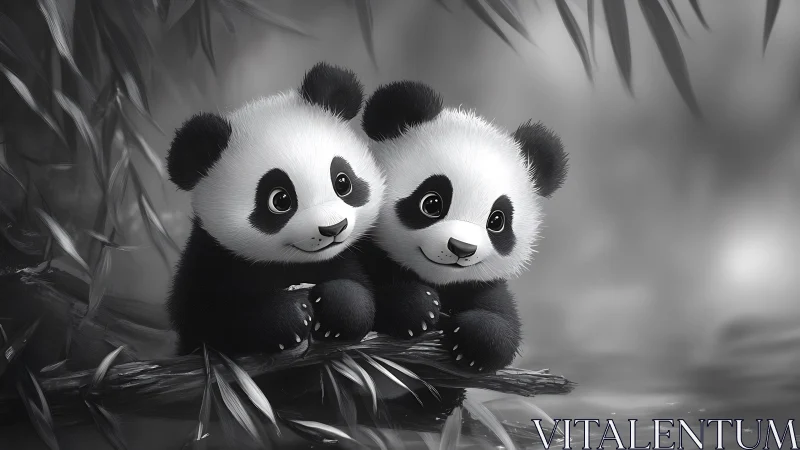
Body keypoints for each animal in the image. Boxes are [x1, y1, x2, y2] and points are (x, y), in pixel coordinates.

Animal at [165, 62, 385, 356]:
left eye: (342, 182)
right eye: (279, 200)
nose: (332, 228)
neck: (296, 264)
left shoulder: (352, 255)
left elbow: (367, 299)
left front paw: (335, 306)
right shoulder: (211, 259)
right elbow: (210, 320)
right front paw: (290, 314)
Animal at [360, 81, 568, 373]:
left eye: (497, 221)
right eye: (431, 203)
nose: (461, 248)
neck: (439, 279)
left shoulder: (481, 284)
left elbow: (504, 329)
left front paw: (473, 339)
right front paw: (418, 306)